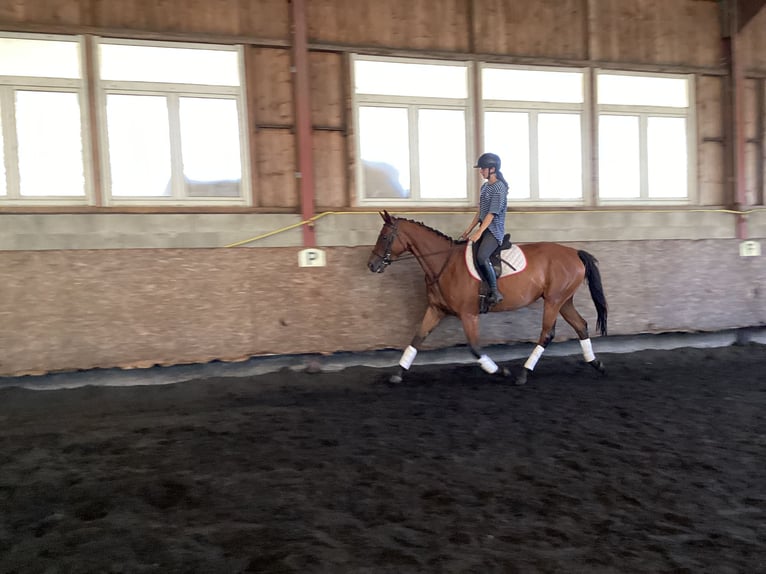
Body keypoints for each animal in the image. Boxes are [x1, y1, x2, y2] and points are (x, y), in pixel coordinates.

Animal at [368, 212, 608, 388]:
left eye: (384, 237)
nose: (371, 265)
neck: (444, 263)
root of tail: (574, 253)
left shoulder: (468, 314)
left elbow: (474, 348)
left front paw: (500, 370)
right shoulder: (436, 309)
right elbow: (417, 339)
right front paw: (398, 373)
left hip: (553, 301)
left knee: (547, 334)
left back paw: (523, 373)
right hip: (563, 301)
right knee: (581, 325)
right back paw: (596, 364)